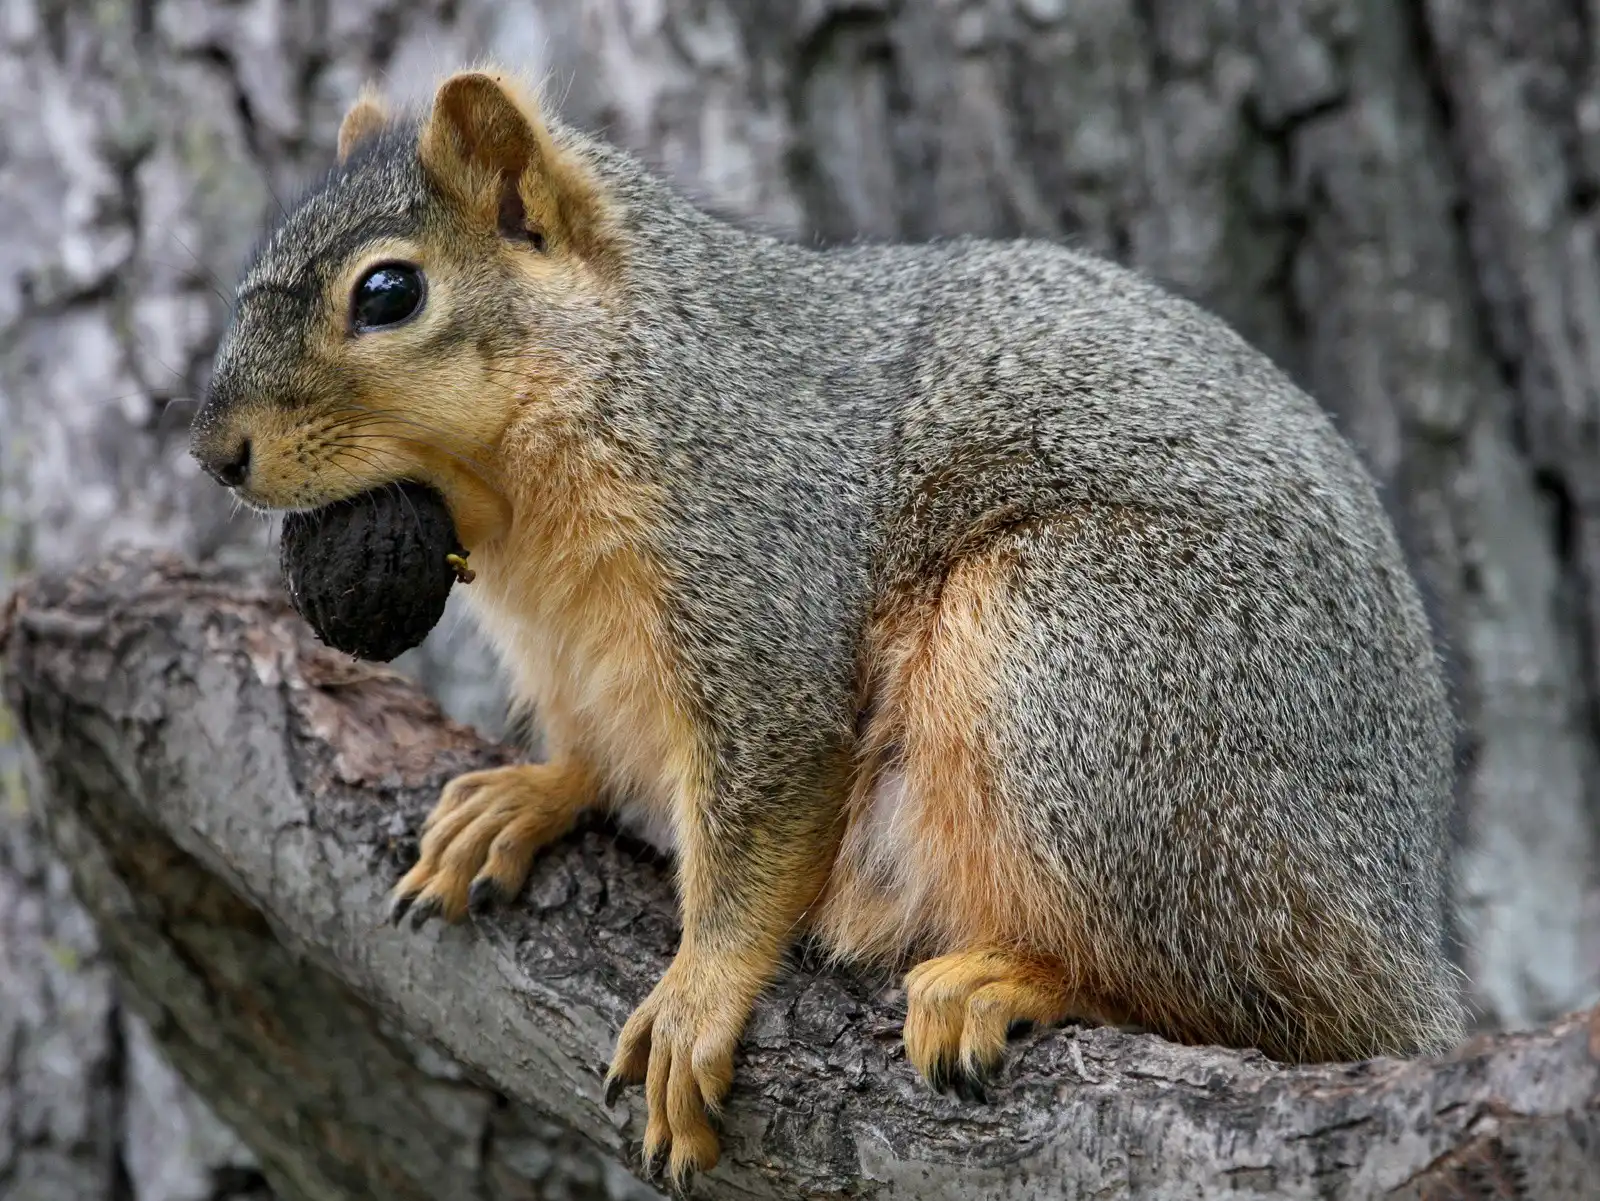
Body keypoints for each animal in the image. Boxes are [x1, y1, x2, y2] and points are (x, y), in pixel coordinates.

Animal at [189, 66, 1468, 1184]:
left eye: (388, 293)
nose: (212, 453)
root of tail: (1396, 928)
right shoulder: (574, 657)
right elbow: (595, 751)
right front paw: (529, 794)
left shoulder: (757, 576)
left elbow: (765, 819)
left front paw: (698, 994)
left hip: (1079, 669)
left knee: (1233, 994)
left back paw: (1012, 979)